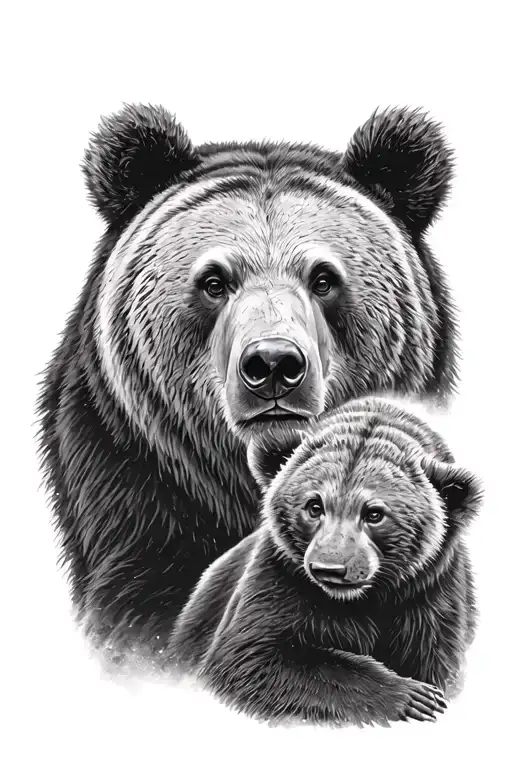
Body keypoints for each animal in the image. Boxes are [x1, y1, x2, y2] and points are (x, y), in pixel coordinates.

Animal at [166, 397, 482, 726]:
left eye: (374, 513)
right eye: (314, 506)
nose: (330, 568)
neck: (362, 599)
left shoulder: (428, 596)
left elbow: (434, 660)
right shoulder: (281, 580)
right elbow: (251, 657)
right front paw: (412, 697)